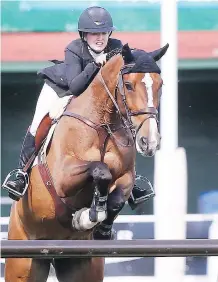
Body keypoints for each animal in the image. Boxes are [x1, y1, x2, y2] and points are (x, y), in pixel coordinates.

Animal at [4, 43, 169, 280]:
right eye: (128, 85)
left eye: (160, 85)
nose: (150, 142)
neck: (103, 123)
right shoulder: (63, 177)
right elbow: (100, 170)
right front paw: (90, 214)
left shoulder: (126, 176)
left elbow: (116, 197)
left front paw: (100, 226)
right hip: (23, 261)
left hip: (81, 265)